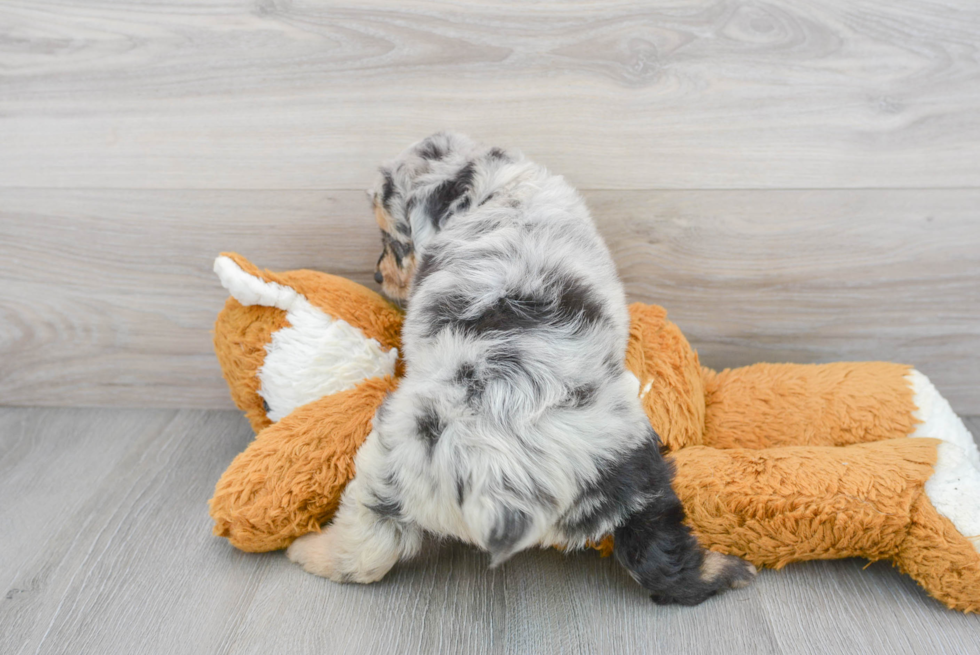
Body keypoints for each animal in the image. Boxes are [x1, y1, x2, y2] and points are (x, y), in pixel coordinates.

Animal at [288, 132, 756, 604]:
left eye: (392, 238)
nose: (376, 276)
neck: (497, 189)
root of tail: (498, 476)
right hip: (641, 472)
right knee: (662, 556)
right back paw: (727, 571)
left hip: (385, 468)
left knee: (365, 551)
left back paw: (308, 550)